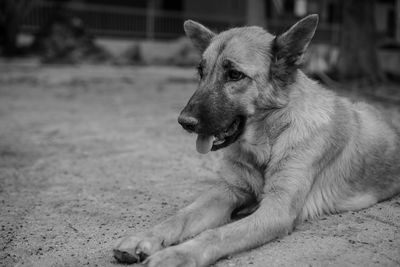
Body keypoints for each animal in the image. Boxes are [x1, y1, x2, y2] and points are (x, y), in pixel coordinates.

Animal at [113, 15, 400, 267]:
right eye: (201, 72)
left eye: (235, 75)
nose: (185, 122)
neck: (270, 139)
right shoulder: (228, 191)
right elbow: (180, 216)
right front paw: (144, 238)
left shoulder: (276, 210)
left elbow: (216, 234)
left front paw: (176, 255)